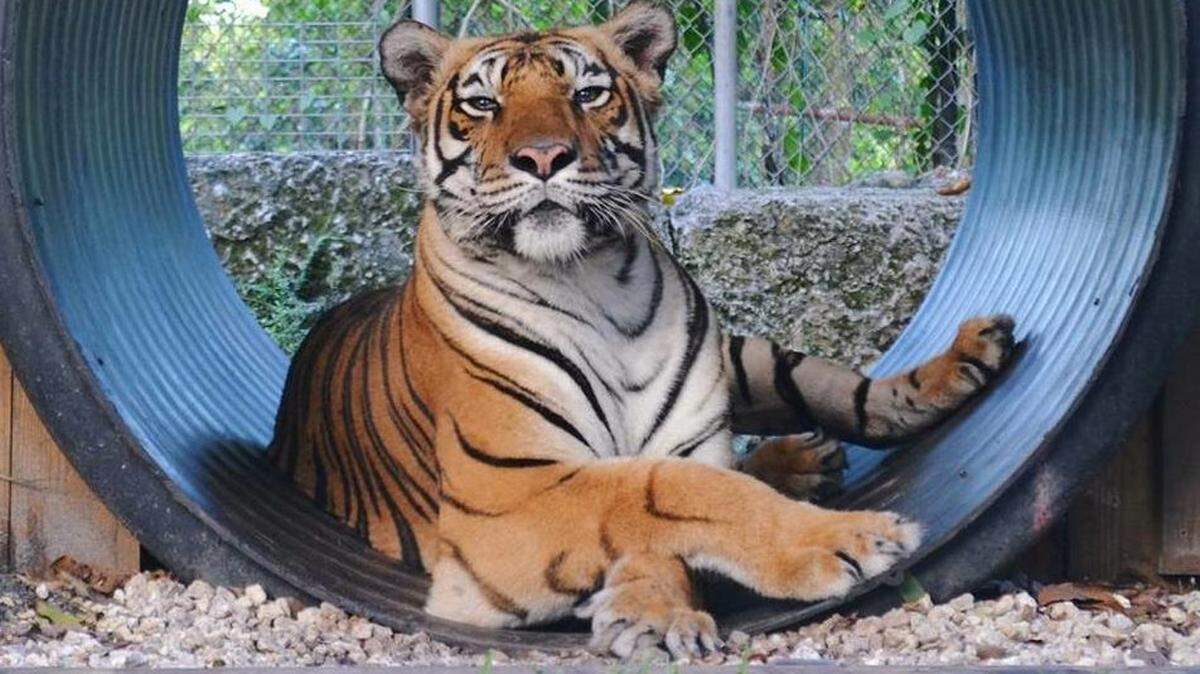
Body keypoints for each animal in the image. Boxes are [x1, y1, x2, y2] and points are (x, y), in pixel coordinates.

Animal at [267, 1, 1017, 659]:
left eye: (589, 93)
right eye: (483, 104)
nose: (544, 156)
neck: (587, 281)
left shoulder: (678, 439)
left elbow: (685, 489)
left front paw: (658, 608)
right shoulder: (504, 500)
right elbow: (663, 491)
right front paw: (846, 541)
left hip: (749, 358)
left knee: (847, 391)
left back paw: (963, 360)